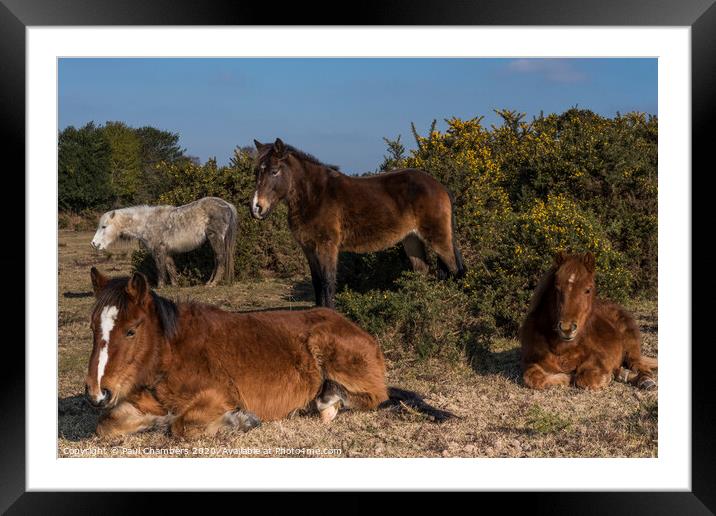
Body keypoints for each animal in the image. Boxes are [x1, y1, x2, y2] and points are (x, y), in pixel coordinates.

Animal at [85, 268, 454, 438]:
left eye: (131, 330)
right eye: (92, 327)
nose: (96, 393)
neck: (171, 353)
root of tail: (356, 328)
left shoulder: (219, 396)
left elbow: (183, 425)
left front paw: (238, 421)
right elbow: (107, 424)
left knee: (376, 396)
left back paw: (327, 403)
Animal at [91, 197, 238, 288]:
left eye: (104, 227)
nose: (94, 244)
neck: (146, 223)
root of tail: (227, 205)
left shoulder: (159, 250)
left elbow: (160, 268)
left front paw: (160, 286)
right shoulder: (167, 252)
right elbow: (170, 268)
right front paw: (175, 285)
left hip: (215, 238)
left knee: (220, 258)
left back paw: (213, 283)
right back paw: (209, 282)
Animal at [249, 138, 468, 306]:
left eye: (274, 171)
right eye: (257, 172)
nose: (256, 208)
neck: (315, 196)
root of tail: (440, 186)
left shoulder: (327, 247)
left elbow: (328, 283)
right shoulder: (309, 249)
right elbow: (317, 284)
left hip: (439, 239)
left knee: (456, 270)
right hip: (412, 239)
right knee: (422, 272)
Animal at [516, 251, 656, 392]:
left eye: (587, 290)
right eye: (557, 289)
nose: (566, 328)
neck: (562, 347)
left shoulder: (601, 358)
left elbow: (584, 378)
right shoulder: (529, 362)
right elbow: (532, 378)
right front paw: (563, 378)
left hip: (631, 346)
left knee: (638, 365)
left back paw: (645, 381)